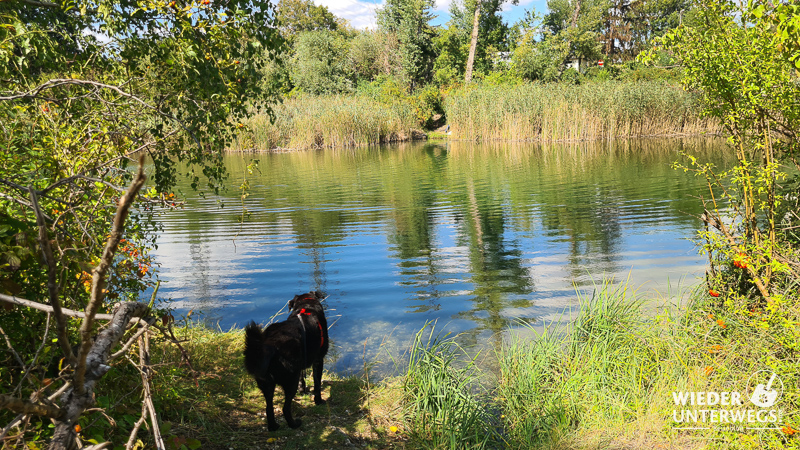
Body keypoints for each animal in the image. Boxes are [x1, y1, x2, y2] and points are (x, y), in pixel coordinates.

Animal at [244, 290, 332, 430]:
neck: (307, 306)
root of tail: (271, 346)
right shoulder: (318, 360)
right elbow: (317, 383)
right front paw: (318, 401)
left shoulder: (301, 364)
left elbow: (303, 377)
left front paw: (303, 390)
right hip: (290, 381)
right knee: (285, 408)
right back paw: (294, 424)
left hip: (267, 383)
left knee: (269, 408)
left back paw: (273, 427)